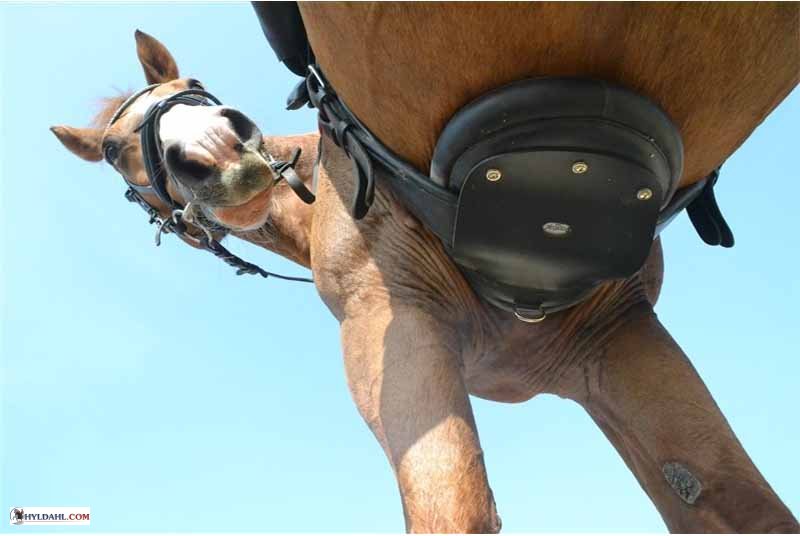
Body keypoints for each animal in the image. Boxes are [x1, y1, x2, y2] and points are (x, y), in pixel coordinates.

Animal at [50, 18, 797, 534]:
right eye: (113, 150)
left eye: (194, 87)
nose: (220, 148)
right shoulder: (620, 341)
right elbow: (738, 502)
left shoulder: (390, 321)